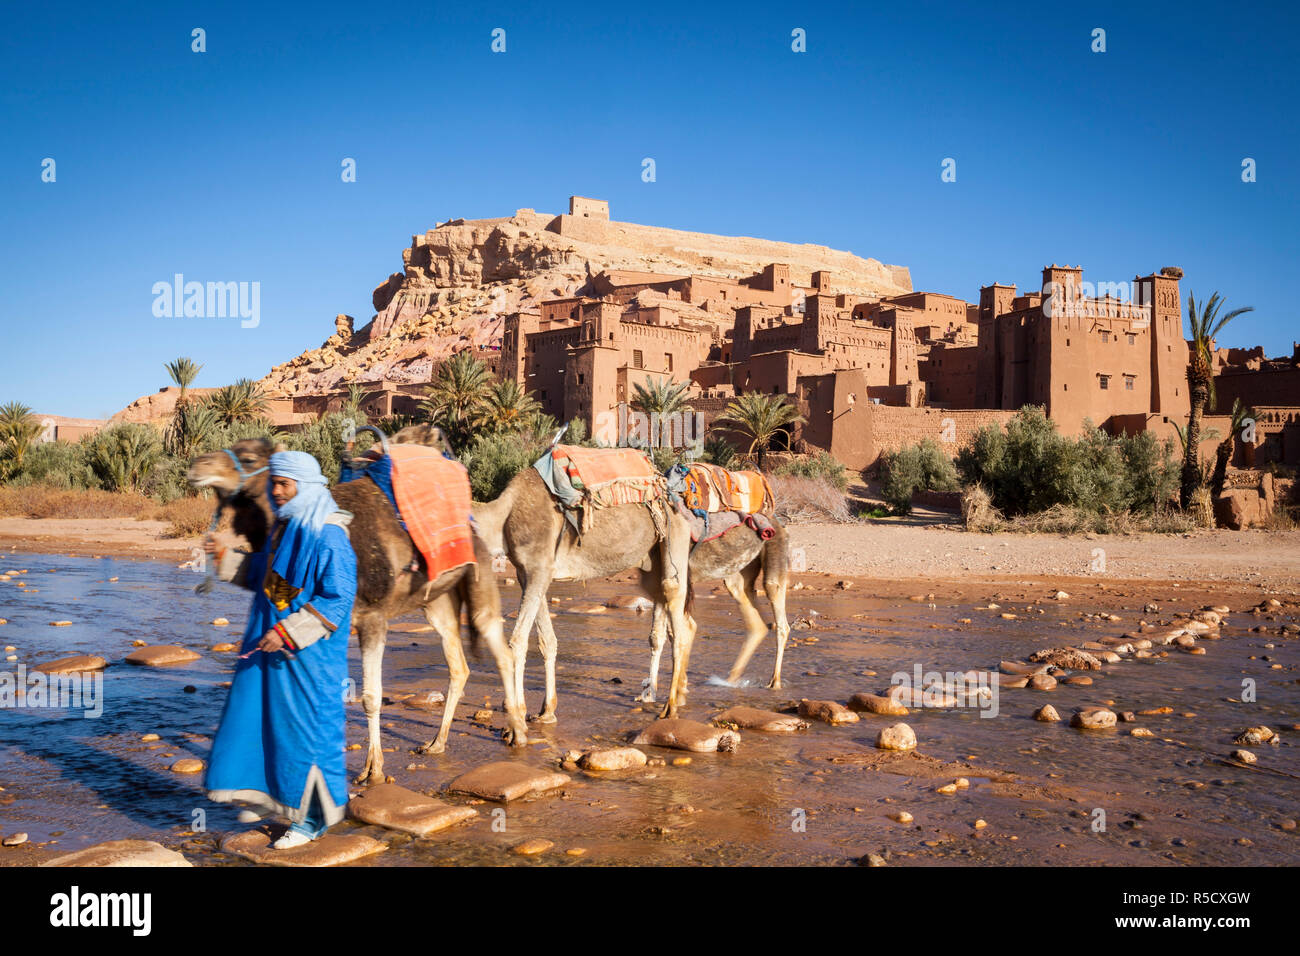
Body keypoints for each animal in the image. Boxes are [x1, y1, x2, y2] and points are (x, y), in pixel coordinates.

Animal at [184, 434, 527, 785]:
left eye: (250, 458)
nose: (198, 465)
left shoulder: (372, 617)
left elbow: (371, 696)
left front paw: (372, 769)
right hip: (436, 601)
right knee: (458, 665)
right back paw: (437, 743)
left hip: (480, 576)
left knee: (500, 649)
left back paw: (518, 732)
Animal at [631, 520, 790, 707]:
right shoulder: (662, 589)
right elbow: (657, 636)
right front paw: (649, 695)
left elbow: (685, 630)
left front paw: (677, 692)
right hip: (737, 576)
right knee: (756, 622)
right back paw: (730, 680)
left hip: (774, 557)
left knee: (780, 616)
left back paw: (775, 682)